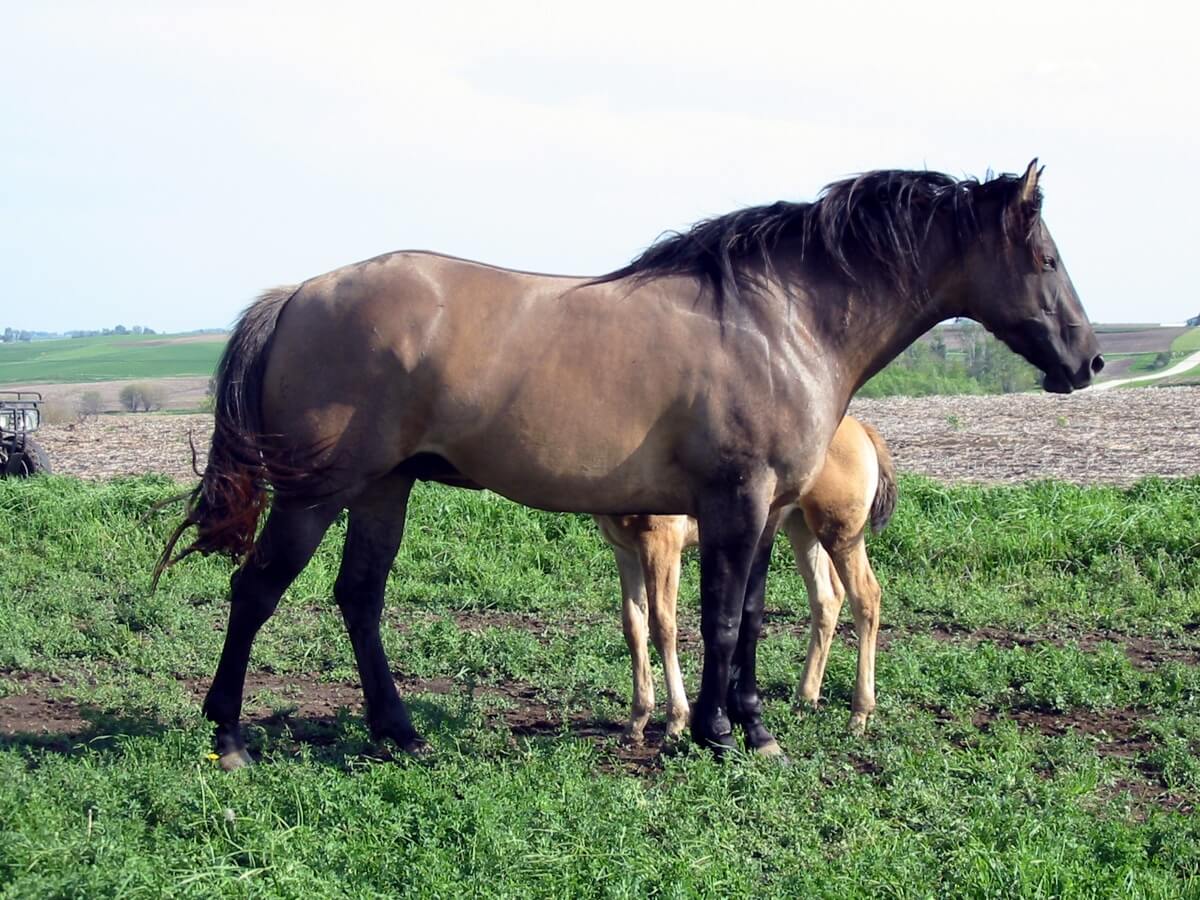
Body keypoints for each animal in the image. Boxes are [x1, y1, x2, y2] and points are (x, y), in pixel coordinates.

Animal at [595, 415, 896, 744]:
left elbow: (662, 625)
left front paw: (675, 721)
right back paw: (803, 701)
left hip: (841, 531)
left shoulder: (661, 543)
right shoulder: (625, 549)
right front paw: (635, 722)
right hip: (801, 528)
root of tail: (863, 431)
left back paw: (858, 715)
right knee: (827, 598)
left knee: (866, 597)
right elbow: (633, 625)